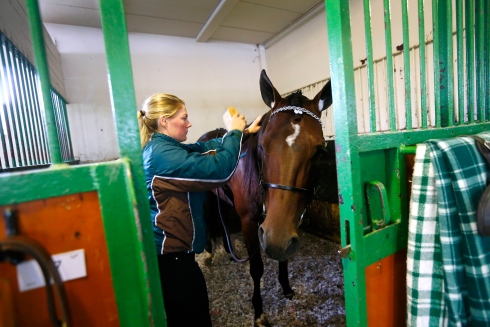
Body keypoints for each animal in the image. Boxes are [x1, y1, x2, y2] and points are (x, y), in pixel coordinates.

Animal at [199, 70, 334, 327]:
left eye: (320, 150)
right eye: (262, 146)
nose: (276, 239)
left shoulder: (286, 225)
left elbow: (284, 256)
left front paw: (286, 287)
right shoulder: (250, 221)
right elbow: (256, 268)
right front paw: (259, 311)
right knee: (207, 219)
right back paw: (210, 253)